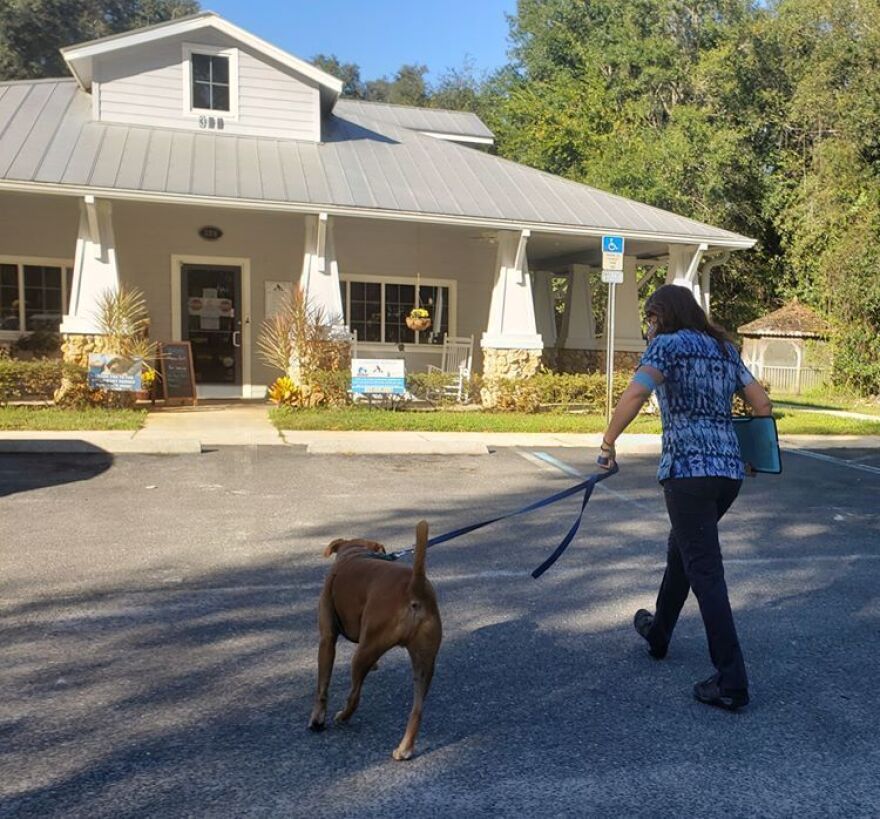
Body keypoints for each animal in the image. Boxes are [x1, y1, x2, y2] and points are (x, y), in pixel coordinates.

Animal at [312, 520, 446, 764]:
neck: (355, 554)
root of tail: (414, 586)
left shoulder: (327, 638)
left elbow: (322, 687)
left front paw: (316, 719)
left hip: (364, 653)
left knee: (355, 696)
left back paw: (342, 717)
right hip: (424, 662)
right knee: (417, 709)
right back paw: (404, 749)